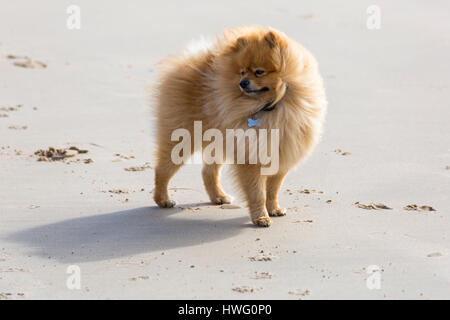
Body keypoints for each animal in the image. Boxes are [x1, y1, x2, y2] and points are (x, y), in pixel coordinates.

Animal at [153, 26, 326, 226]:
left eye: (259, 72)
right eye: (242, 72)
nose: (242, 83)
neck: (270, 105)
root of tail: (189, 60)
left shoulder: (282, 153)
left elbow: (272, 189)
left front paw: (274, 209)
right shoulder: (251, 156)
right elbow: (257, 192)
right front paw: (261, 217)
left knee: (208, 171)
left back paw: (218, 197)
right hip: (182, 139)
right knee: (162, 170)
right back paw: (163, 199)